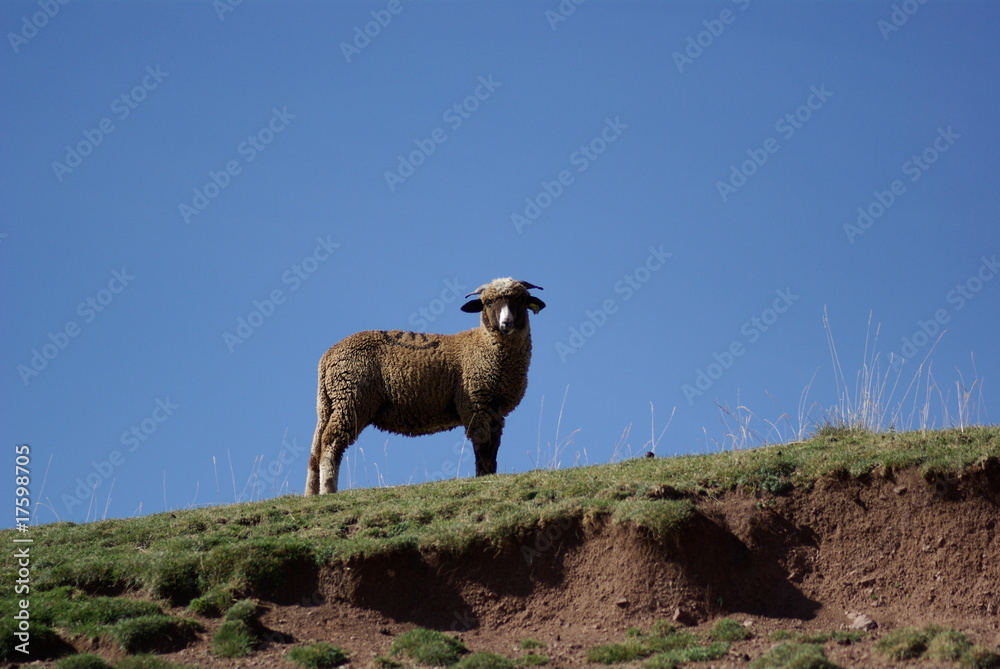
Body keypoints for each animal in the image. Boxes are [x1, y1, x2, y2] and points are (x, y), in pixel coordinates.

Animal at [304, 278, 546, 495]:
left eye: (521, 300)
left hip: (329, 403)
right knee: (331, 441)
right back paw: (328, 490)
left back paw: (312, 493)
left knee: (315, 450)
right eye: (487, 302)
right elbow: (482, 445)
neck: (484, 345)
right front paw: (482, 477)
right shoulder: (475, 404)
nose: (506, 324)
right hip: (351, 398)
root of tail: (328, 356)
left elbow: (493, 447)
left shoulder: (495, 410)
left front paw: (490, 475)